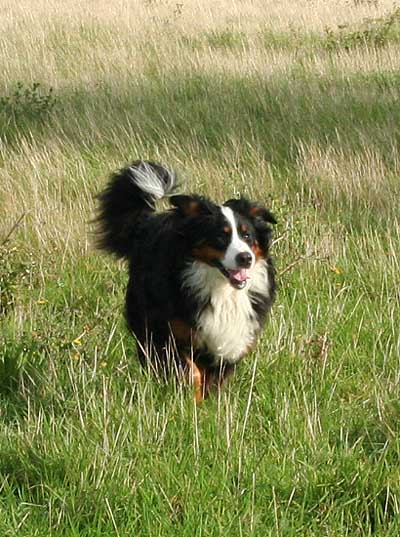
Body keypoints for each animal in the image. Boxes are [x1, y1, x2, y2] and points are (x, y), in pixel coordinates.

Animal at [97, 161, 276, 400]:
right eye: (221, 236)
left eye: (247, 236)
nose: (245, 258)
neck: (221, 289)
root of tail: (148, 222)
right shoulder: (169, 332)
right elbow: (190, 372)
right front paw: (191, 401)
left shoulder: (230, 340)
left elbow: (215, 381)